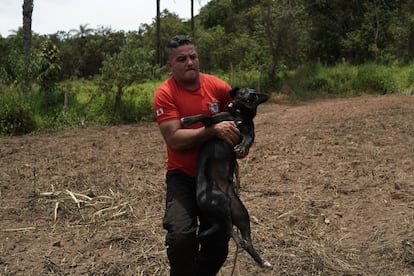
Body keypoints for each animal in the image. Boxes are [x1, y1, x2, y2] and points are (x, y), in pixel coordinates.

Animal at [180, 87, 270, 268]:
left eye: (254, 93)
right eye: (244, 91)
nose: (251, 95)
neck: (239, 114)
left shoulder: (250, 132)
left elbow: (247, 139)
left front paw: (241, 147)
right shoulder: (215, 123)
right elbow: (204, 116)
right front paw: (187, 120)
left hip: (240, 213)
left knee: (239, 237)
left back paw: (262, 261)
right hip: (222, 204)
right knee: (230, 231)